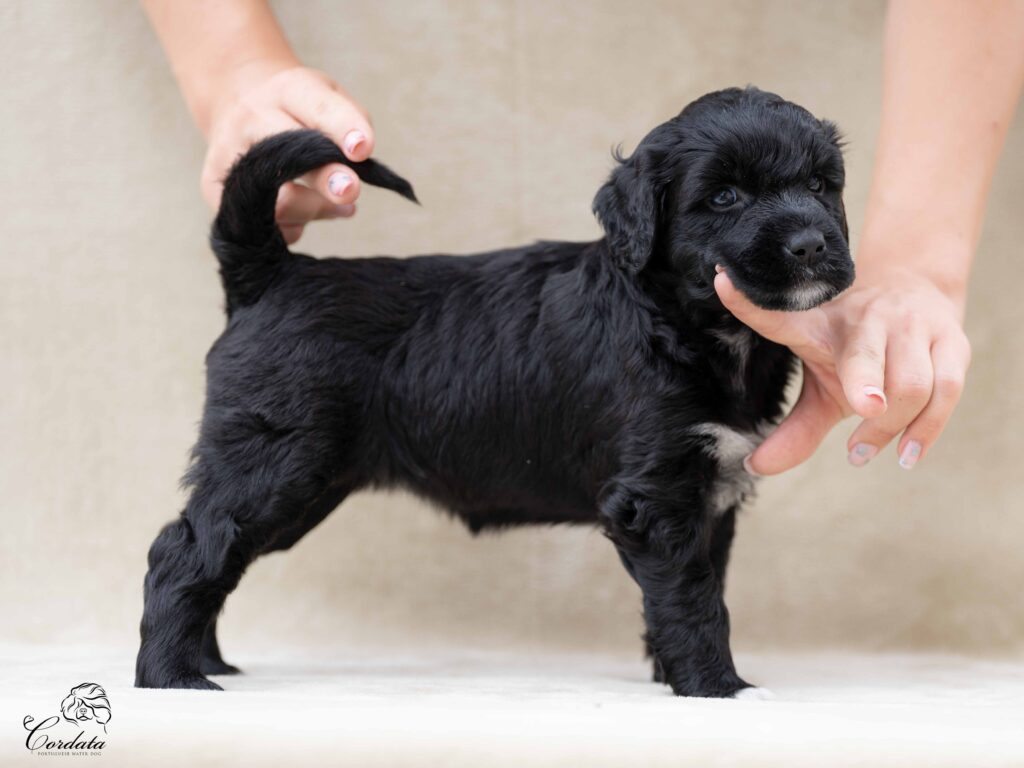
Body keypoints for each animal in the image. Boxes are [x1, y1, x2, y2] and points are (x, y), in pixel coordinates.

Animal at [135, 86, 853, 697]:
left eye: (821, 185)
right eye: (725, 196)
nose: (810, 244)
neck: (685, 321)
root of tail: (272, 272)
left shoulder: (710, 496)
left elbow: (696, 588)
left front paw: (673, 672)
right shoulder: (656, 497)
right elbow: (694, 597)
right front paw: (718, 688)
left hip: (302, 485)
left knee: (217, 550)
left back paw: (205, 661)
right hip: (275, 462)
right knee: (186, 549)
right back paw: (174, 678)